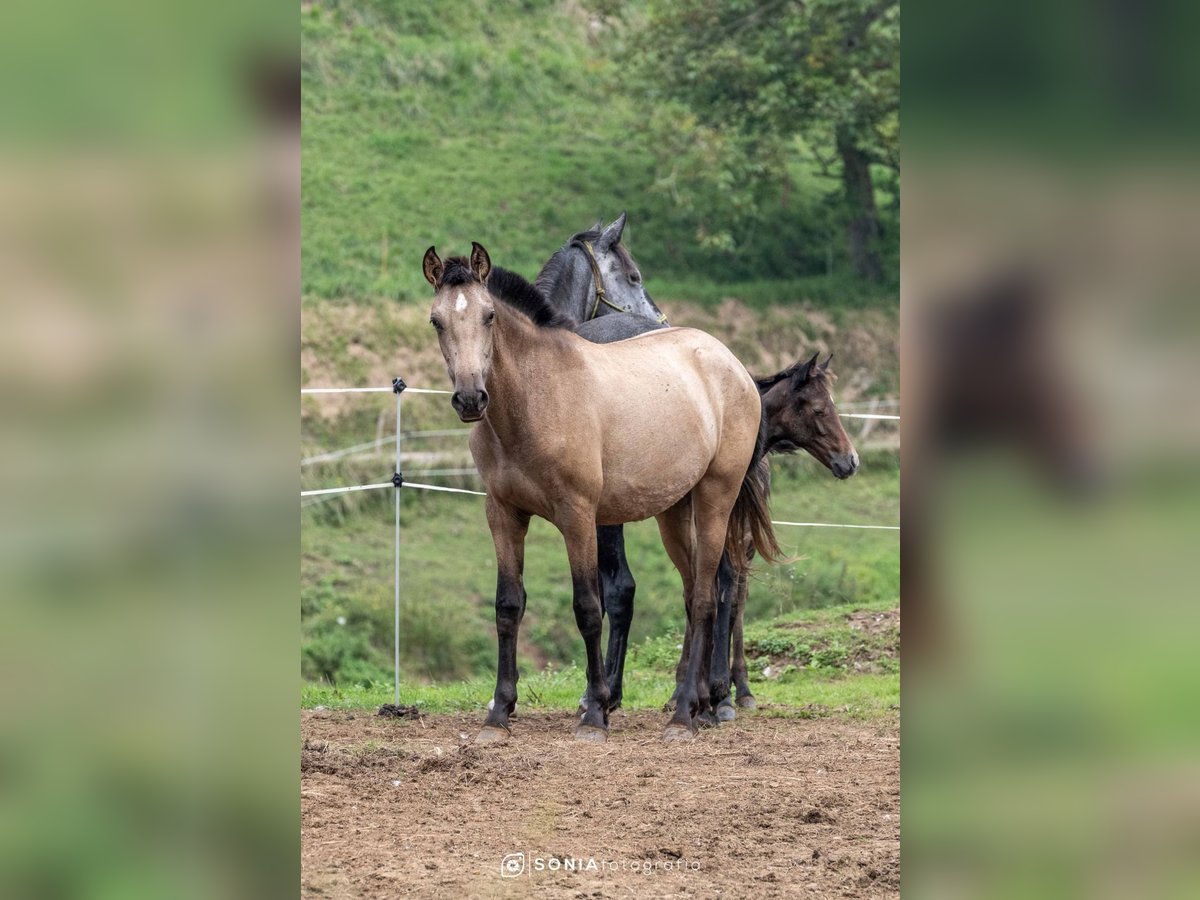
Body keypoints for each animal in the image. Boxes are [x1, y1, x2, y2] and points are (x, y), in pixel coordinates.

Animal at [422, 243, 777, 744]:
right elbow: (508, 606)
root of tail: (733, 365)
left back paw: (686, 714)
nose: (470, 399)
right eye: (437, 320)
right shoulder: (503, 514)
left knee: (710, 597)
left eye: (489, 315)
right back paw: (702, 705)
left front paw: (594, 712)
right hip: (673, 510)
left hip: (716, 498)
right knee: (695, 595)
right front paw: (499, 713)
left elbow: (589, 607)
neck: (536, 399)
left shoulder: (578, 515)